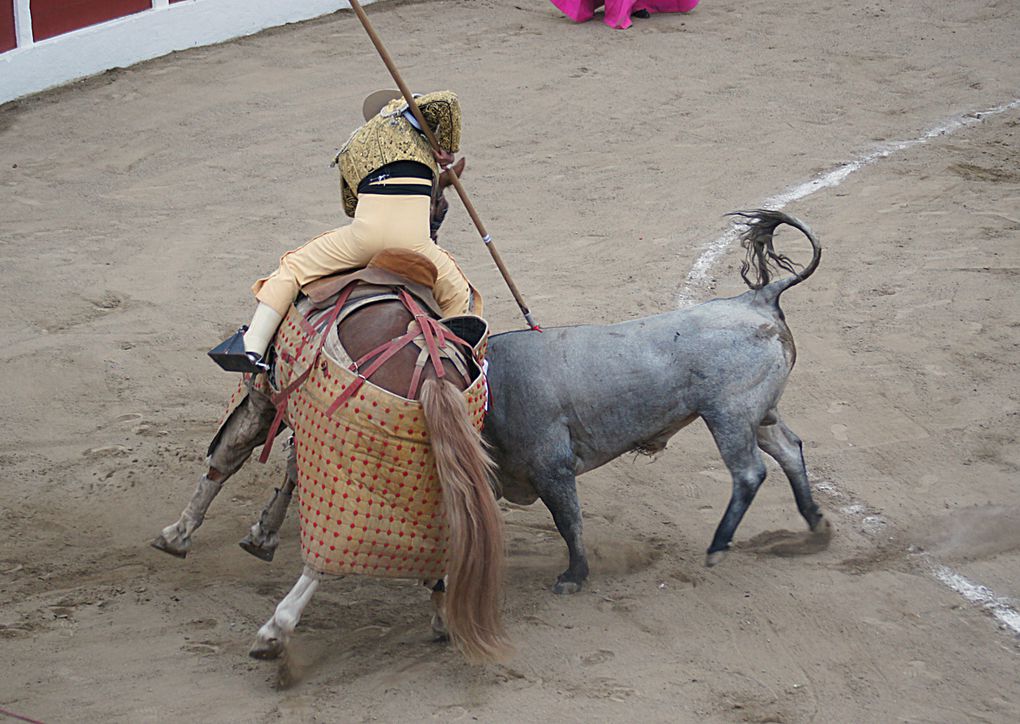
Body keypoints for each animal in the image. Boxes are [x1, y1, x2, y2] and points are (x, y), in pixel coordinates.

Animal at [153, 252, 510, 664]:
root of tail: (432, 369)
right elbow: (292, 468)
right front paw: (264, 532)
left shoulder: (261, 400)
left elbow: (225, 459)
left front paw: (178, 534)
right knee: (448, 541)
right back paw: (442, 615)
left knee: (327, 554)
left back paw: (275, 631)